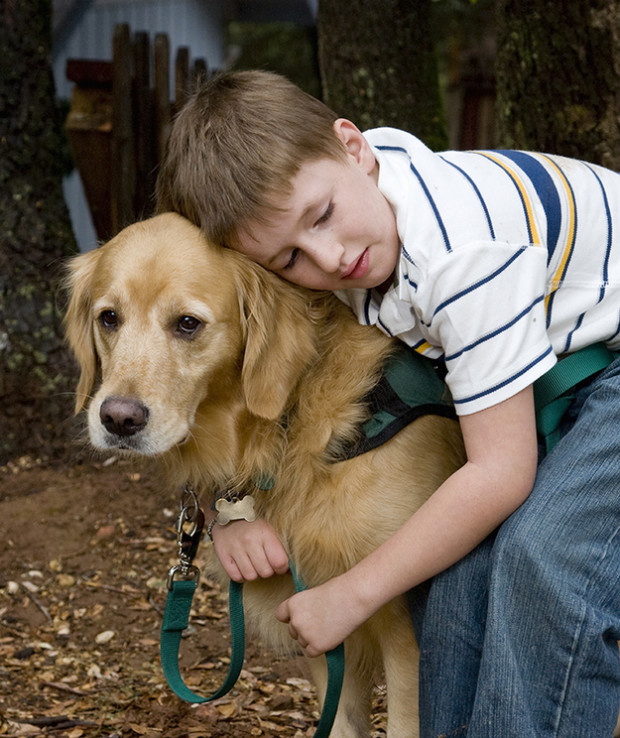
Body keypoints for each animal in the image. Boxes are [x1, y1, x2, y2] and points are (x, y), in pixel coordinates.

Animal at [65, 211, 464, 736]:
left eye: (188, 324)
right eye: (109, 318)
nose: (118, 420)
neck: (289, 430)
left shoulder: (403, 632)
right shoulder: (320, 625)